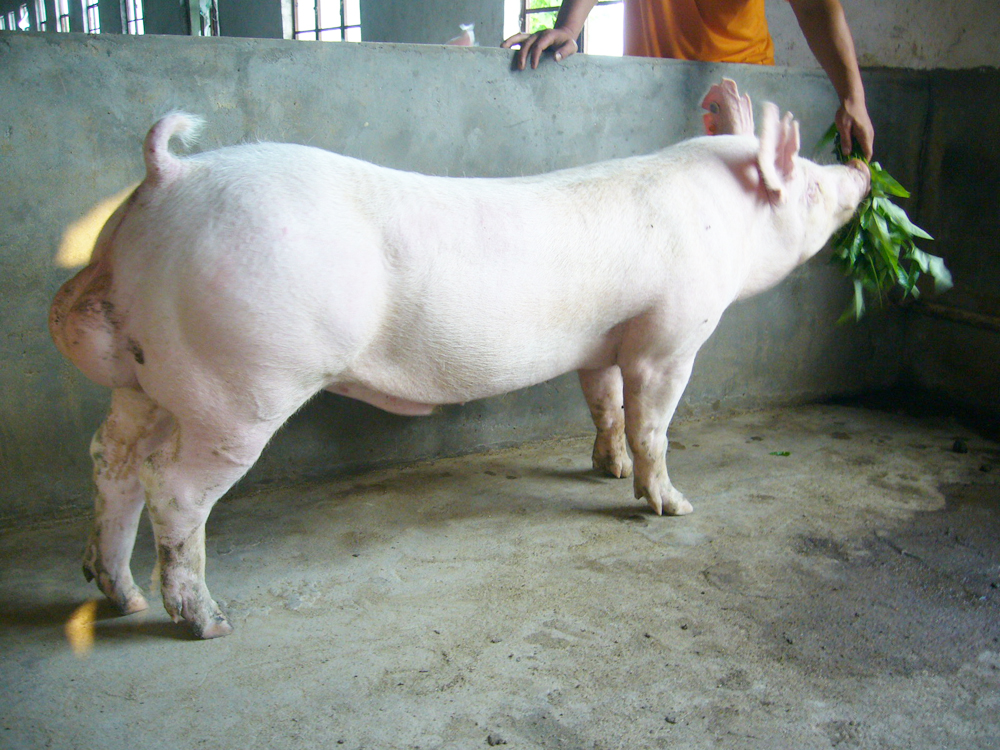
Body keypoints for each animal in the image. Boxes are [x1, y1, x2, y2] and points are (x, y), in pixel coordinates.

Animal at [49, 79, 870, 638]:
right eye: (811, 180)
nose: (862, 171)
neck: (721, 220)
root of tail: (169, 178)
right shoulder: (669, 334)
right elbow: (653, 423)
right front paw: (671, 504)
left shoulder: (605, 340)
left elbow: (604, 404)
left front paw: (606, 470)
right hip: (239, 385)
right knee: (172, 486)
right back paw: (207, 621)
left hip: (143, 376)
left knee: (111, 458)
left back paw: (116, 593)